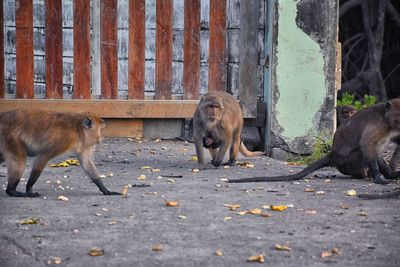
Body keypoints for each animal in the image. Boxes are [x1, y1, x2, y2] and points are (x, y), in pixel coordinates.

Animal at [228, 99, 400, 185]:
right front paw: (378, 177)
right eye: (398, 116)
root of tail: (333, 155)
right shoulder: (377, 125)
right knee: (364, 152)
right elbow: (366, 145)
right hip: (350, 161)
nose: (348, 115)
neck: (386, 118)